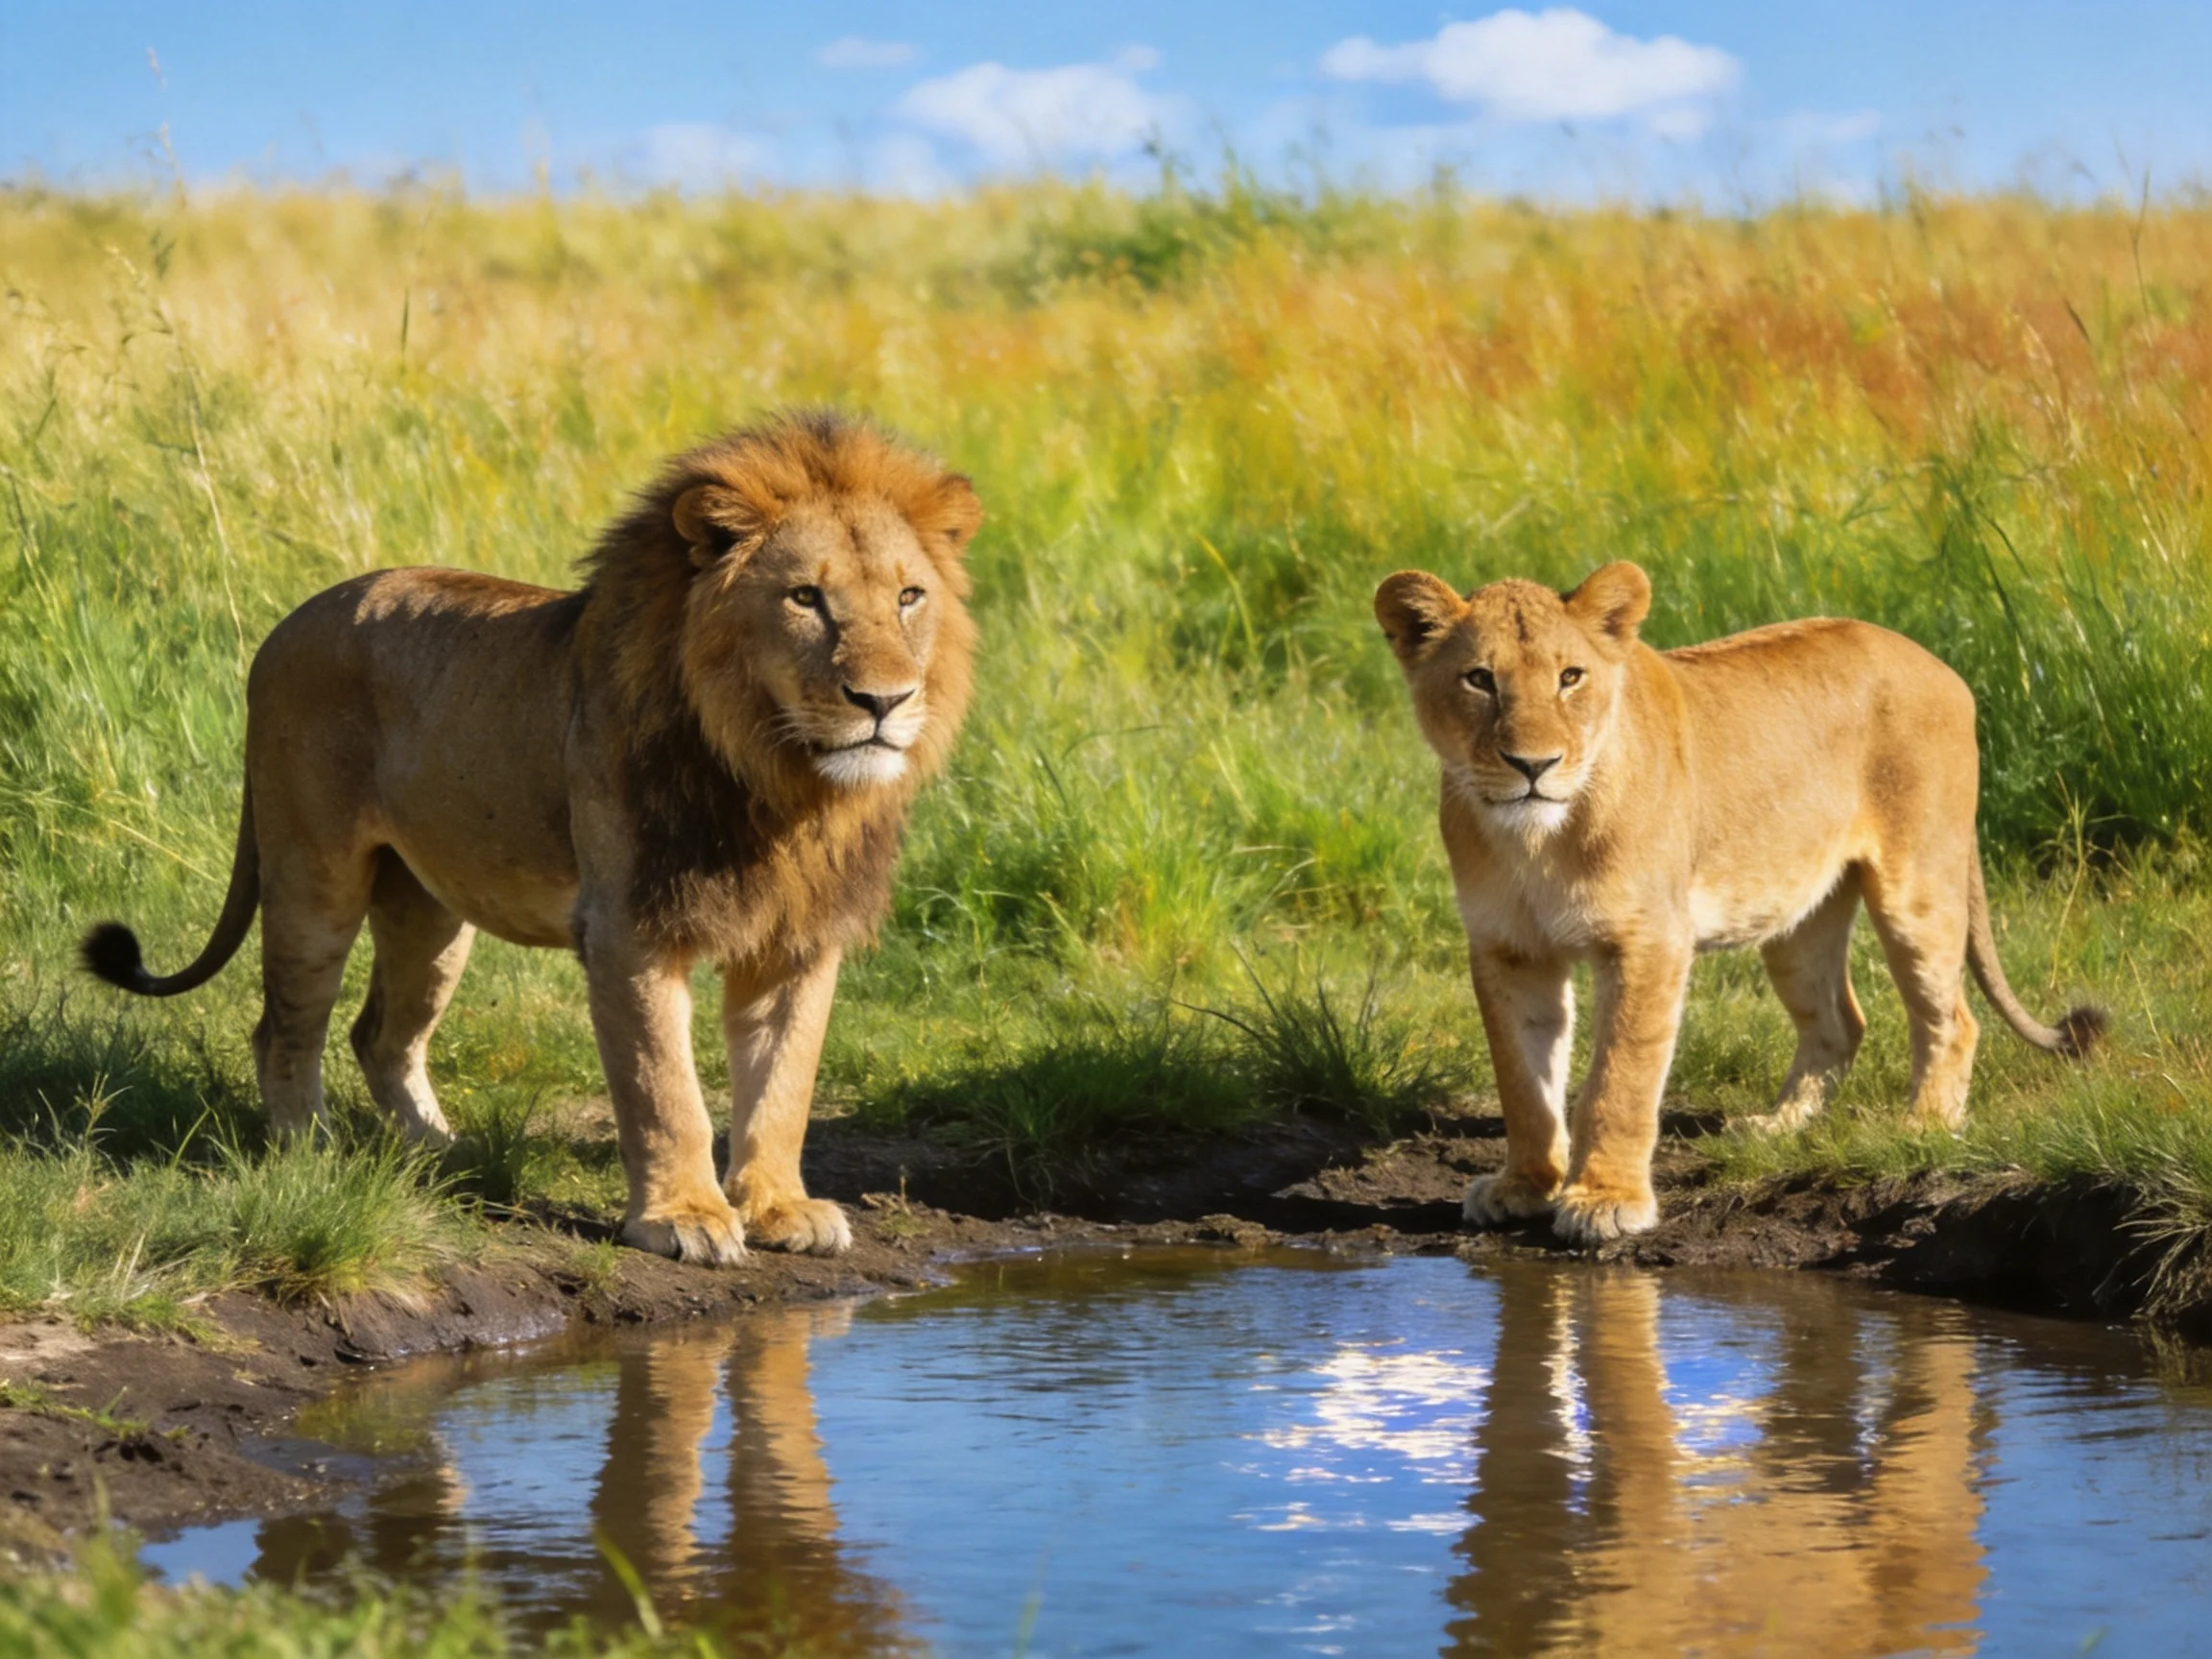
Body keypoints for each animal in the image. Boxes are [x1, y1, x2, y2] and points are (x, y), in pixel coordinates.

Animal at [82, 410, 981, 1264]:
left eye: (908, 596)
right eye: (804, 598)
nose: (884, 701)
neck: (781, 781)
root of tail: (284, 627)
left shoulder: (801, 934)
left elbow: (785, 1085)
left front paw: (779, 1210)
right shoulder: (629, 927)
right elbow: (665, 1090)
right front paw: (683, 1220)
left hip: (430, 911)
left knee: (380, 1034)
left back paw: (443, 1157)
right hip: (313, 874)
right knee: (285, 1026)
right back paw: (312, 1154)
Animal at [1375, 560, 2103, 1247]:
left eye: (1570, 677)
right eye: (1479, 680)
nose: (1533, 765)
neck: (1535, 843)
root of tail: (1940, 666)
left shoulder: (1649, 940)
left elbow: (1620, 1078)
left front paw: (1607, 1200)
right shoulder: (1508, 948)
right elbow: (1523, 1082)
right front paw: (1524, 1187)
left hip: (1917, 886)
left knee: (1953, 1018)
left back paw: (1922, 1127)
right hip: (1798, 919)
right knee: (1841, 1021)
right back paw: (1778, 1126)